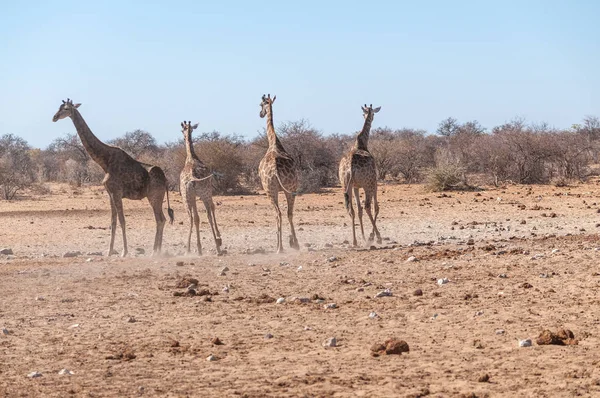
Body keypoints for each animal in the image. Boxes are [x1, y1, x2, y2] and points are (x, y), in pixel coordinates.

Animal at [51, 98, 175, 256]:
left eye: (66, 108)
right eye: (59, 107)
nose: (54, 117)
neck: (105, 161)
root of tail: (166, 180)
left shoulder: (116, 192)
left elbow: (122, 221)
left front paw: (124, 252)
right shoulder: (110, 193)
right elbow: (113, 221)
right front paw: (109, 251)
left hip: (155, 196)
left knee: (160, 219)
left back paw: (155, 252)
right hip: (154, 196)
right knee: (162, 219)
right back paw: (156, 251)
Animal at [180, 119, 225, 255]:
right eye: (182, 130)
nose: (183, 136)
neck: (191, 157)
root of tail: (192, 177)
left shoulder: (194, 196)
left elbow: (197, 218)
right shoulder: (208, 190)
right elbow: (213, 208)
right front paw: (219, 236)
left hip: (186, 197)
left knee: (192, 218)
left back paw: (189, 249)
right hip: (203, 194)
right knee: (208, 214)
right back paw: (217, 247)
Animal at [258, 94, 300, 252]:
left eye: (260, 104)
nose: (261, 114)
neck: (274, 143)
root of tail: (275, 169)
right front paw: (292, 242)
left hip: (270, 189)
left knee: (278, 213)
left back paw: (279, 247)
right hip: (291, 188)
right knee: (289, 213)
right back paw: (296, 244)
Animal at [340, 102, 382, 247]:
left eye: (366, 112)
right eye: (373, 113)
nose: (371, 116)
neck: (362, 144)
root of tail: (350, 167)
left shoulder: (356, 186)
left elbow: (358, 210)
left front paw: (363, 236)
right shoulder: (375, 182)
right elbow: (376, 207)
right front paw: (371, 236)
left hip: (346, 185)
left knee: (351, 209)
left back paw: (355, 241)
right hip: (367, 184)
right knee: (368, 206)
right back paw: (377, 237)